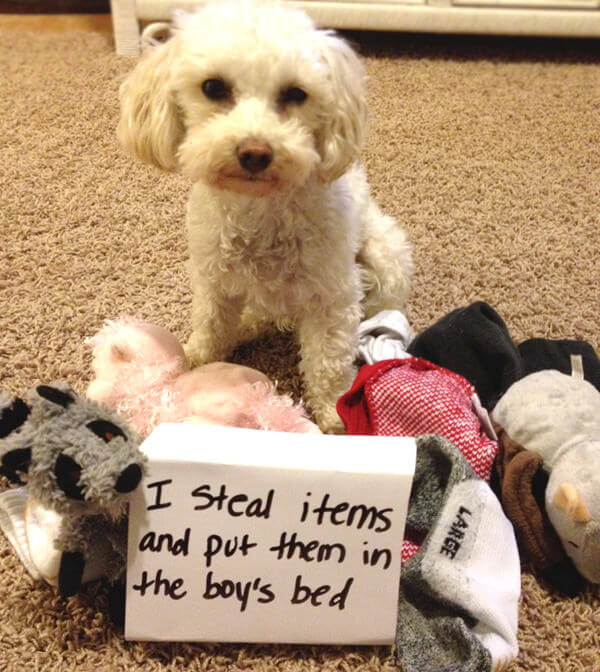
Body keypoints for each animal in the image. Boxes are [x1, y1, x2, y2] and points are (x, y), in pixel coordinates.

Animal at [117, 0, 412, 430]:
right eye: (213, 88)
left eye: (295, 93)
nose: (254, 152)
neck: (260, 209)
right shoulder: (214, 280)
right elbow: (211, 325)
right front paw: (196, 360)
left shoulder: (333, 299)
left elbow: (327, 362)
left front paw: (335, 415)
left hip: (386, 261)